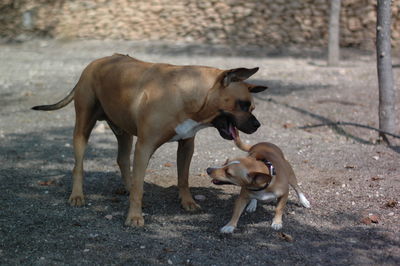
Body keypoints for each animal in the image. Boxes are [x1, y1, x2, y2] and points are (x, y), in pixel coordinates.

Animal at [32, 54, 268, 227]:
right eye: (243, 105)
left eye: (253, 107)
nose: (257, 125)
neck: (188, 95)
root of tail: (95, 62)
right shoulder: (144, 147)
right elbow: (139, 186)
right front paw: (134, 217)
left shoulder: (186, 145)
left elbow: (183, 178)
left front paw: (187, 202)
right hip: (83, 127)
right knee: (78, 166)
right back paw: (77, 195)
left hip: (124, 132)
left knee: (122, 160)